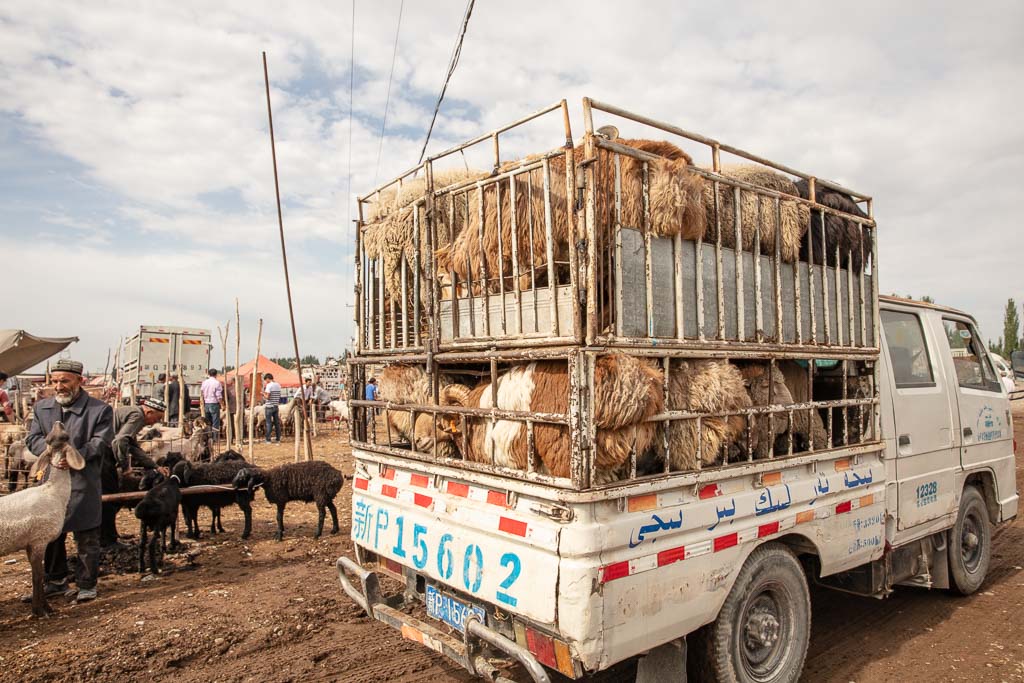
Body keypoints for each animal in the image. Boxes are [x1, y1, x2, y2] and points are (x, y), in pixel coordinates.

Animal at [0, 421, 86, 618]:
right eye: (64, 437)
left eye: (59, 436)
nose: (57, 422)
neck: (54, 490)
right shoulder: (39, 540)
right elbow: (37, 576)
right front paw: (40, 610)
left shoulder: (30, 544)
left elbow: (36, 576)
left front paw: (44, 607)